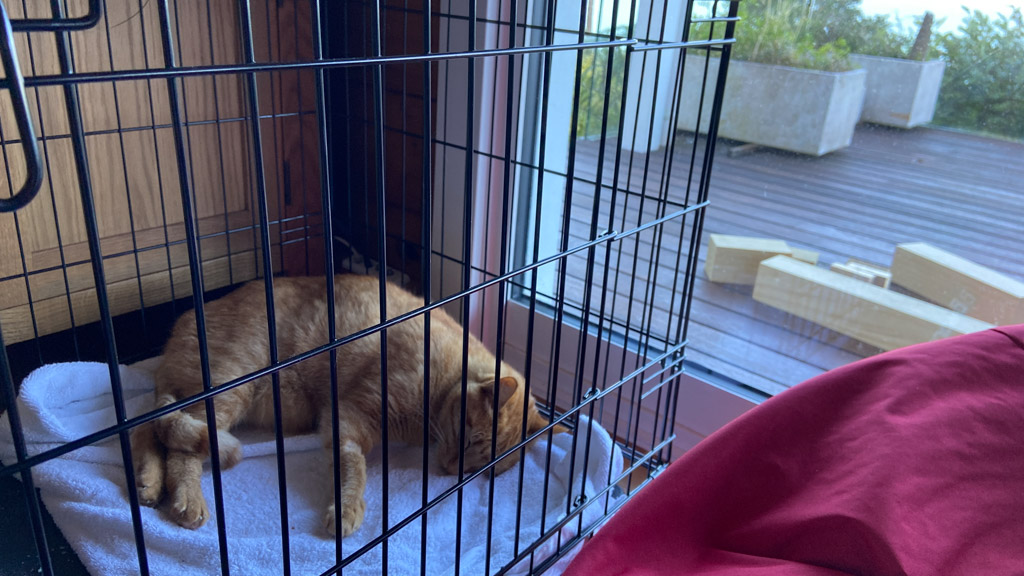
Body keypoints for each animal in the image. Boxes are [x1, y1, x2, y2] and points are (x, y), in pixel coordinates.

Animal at [129, 275, 565, 537]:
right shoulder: (350, 418)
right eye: (471, 438)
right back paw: (187, 498)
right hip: (233, 383)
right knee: (177, 442)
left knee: (146, 424)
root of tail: (185, 321)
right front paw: (348, 509)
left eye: (483, 470)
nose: (451, 471)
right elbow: (355, 469)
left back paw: (148, 483)